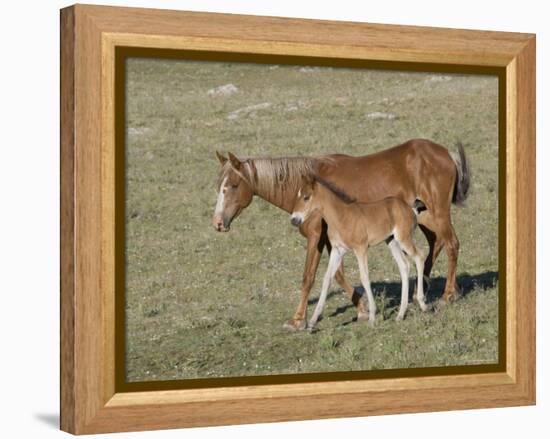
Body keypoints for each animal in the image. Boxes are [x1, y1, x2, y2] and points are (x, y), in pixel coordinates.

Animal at [292, 175, 430, 330]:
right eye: (298, 195)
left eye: (306, 197)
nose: (294, 219)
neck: (341, 216)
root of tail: (410, 208)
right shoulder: (337, 250)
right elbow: (327, 279)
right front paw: (312, 322)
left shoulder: (361, 248)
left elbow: (364, 277)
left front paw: (372, 317)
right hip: (392, 241)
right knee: (404, 266)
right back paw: (400, 314)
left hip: (403, 238)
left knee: (419, 256)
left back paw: (422, 304)